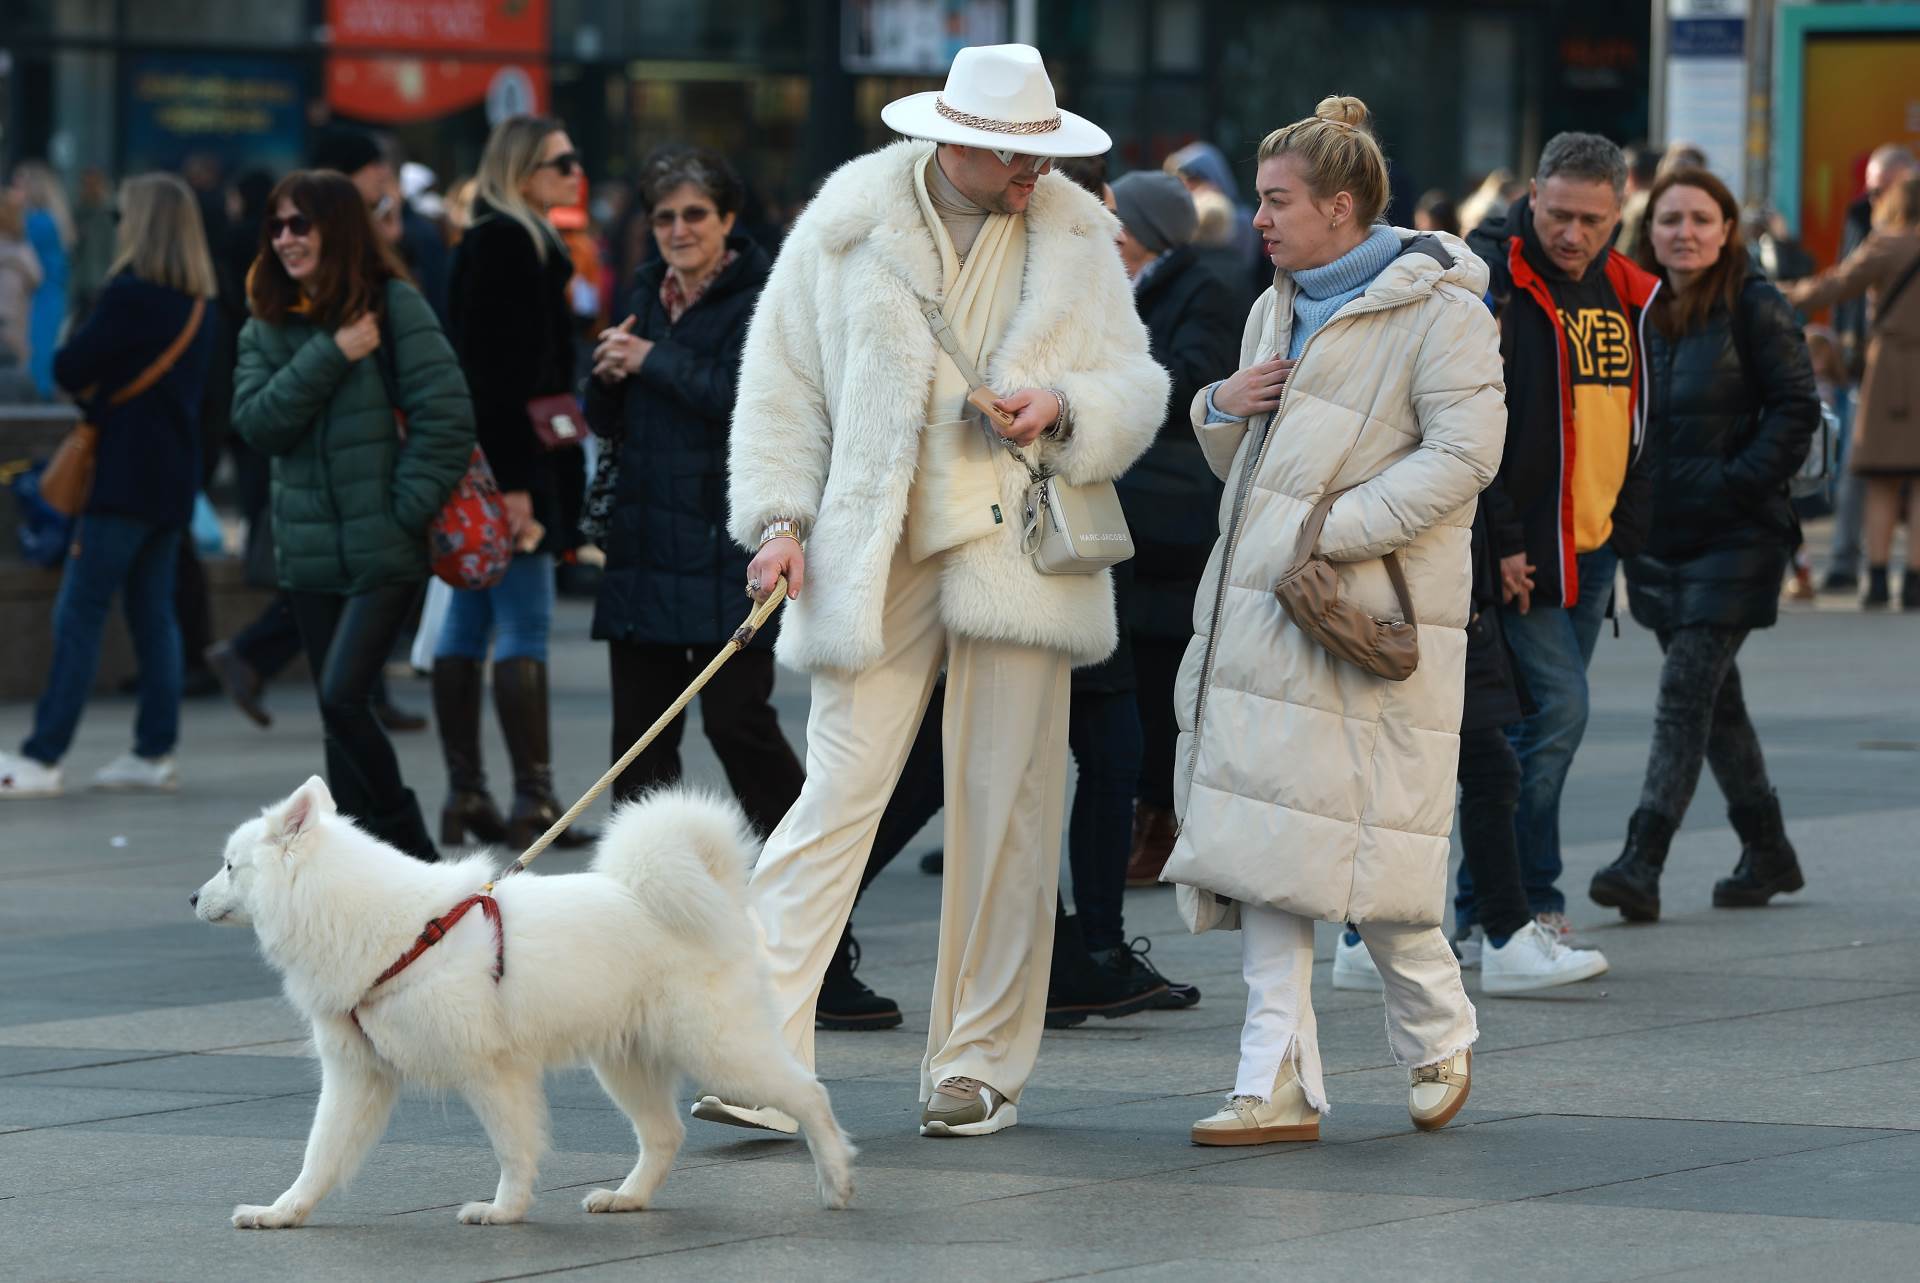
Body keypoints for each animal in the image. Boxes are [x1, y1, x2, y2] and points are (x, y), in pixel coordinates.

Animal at [192, 775, 856, 1229]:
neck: (389, 930)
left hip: (718, 1050)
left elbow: (514, 1147)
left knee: (809, 1094)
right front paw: (282, 1212)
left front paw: (504, 1211)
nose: (192, 898)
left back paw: (837, 1179)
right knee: (665, 1135)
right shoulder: (359, 1076)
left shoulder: (492, 1072)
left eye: (229, 865)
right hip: (626, 1064)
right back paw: (628, 1197)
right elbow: (320, 1155)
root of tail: (715, 893)